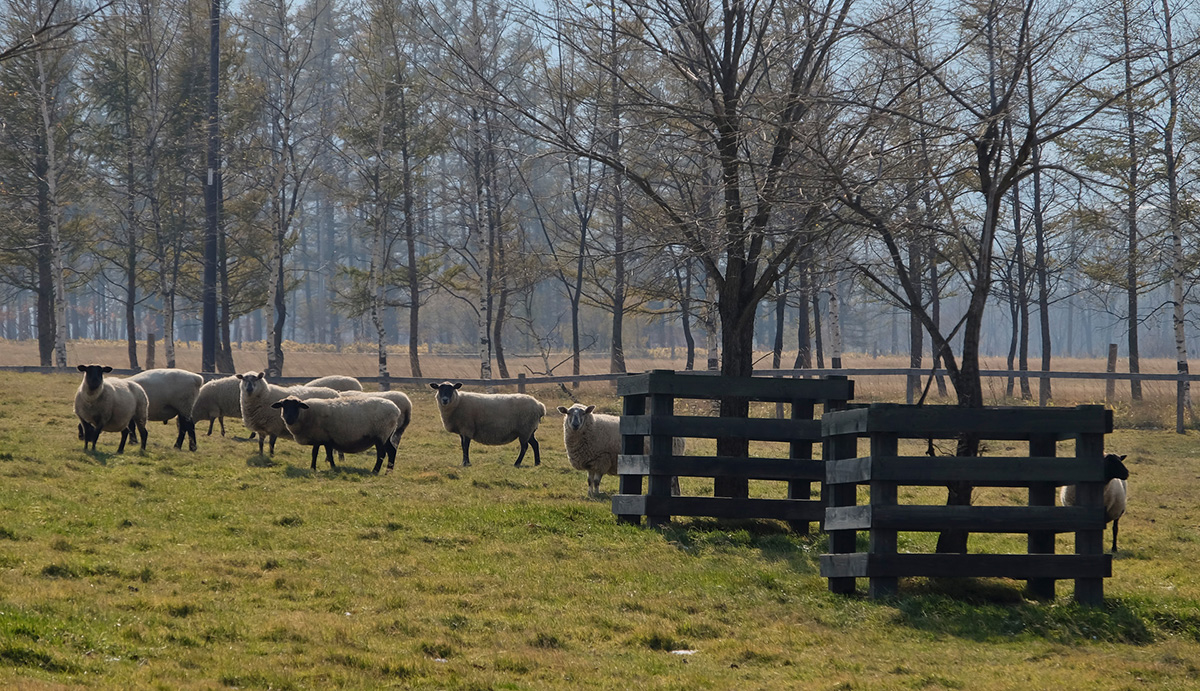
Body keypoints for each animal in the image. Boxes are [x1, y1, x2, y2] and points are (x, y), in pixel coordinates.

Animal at [272, 393, 403, 475]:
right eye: (283, 406)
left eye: (297, 406)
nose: (289, 419)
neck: (306, 414)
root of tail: (397, 410)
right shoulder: (323, 438)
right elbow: (322, 454)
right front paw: (324, 467)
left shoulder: (321, 437)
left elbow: (322, 454)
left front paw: (322, 468)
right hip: (387, 435)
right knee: (392, 450)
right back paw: (388, 472)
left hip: (381, 434)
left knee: (382, 453)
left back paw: (375, 471)